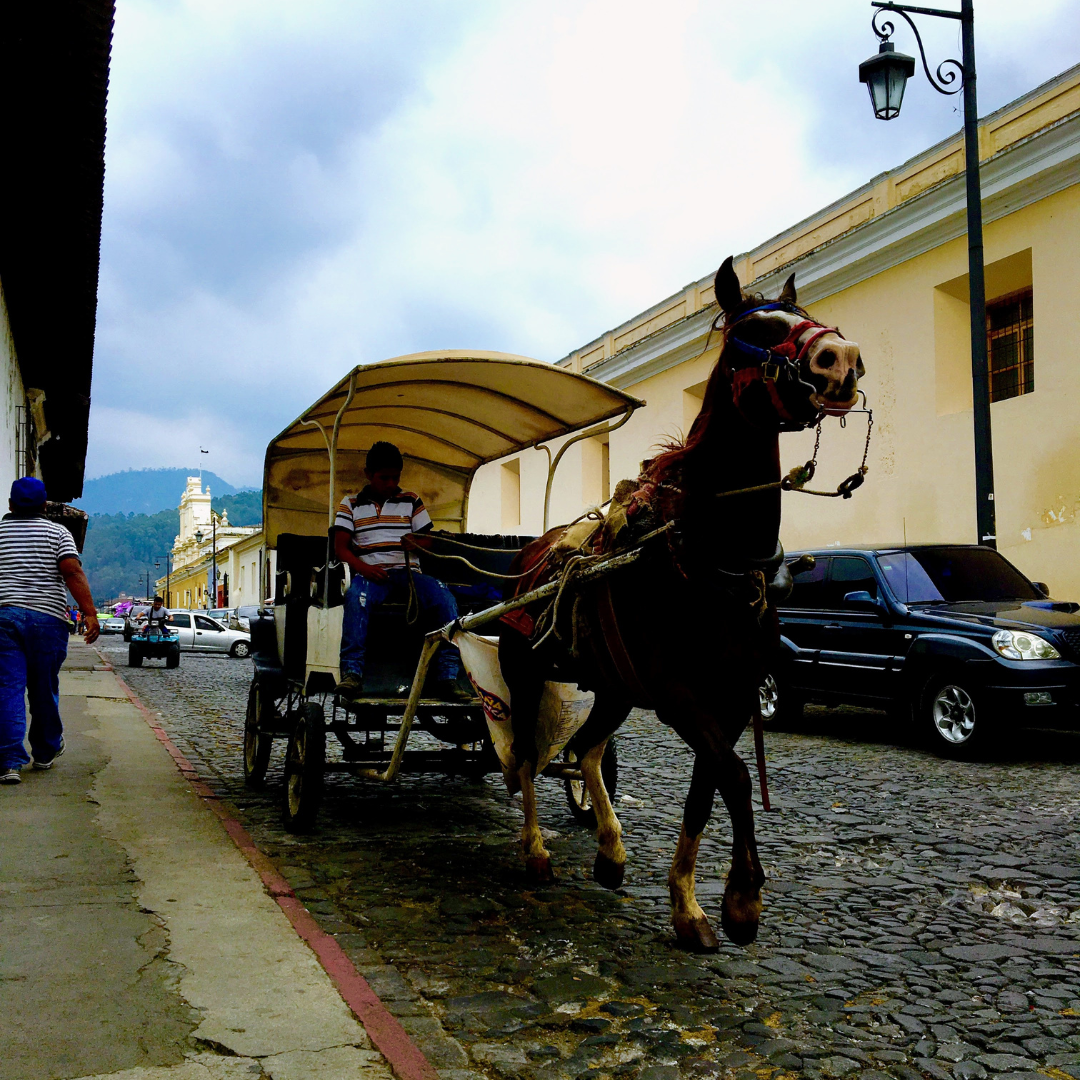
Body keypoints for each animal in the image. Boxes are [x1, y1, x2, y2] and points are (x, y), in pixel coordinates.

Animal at [494, 257, 859, 950]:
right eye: (756, 331)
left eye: (806, 316)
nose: (840, 356)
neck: (711, 559)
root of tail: (529, 559)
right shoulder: (678, 695)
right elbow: (736, 777)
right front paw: (742, 899)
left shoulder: (731, 697)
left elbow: (706, 788)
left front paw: (689, 906)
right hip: (524, 674)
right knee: (527, 757)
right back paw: (534, 851)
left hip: (613, 686)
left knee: (587, 748)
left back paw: (610, 851)